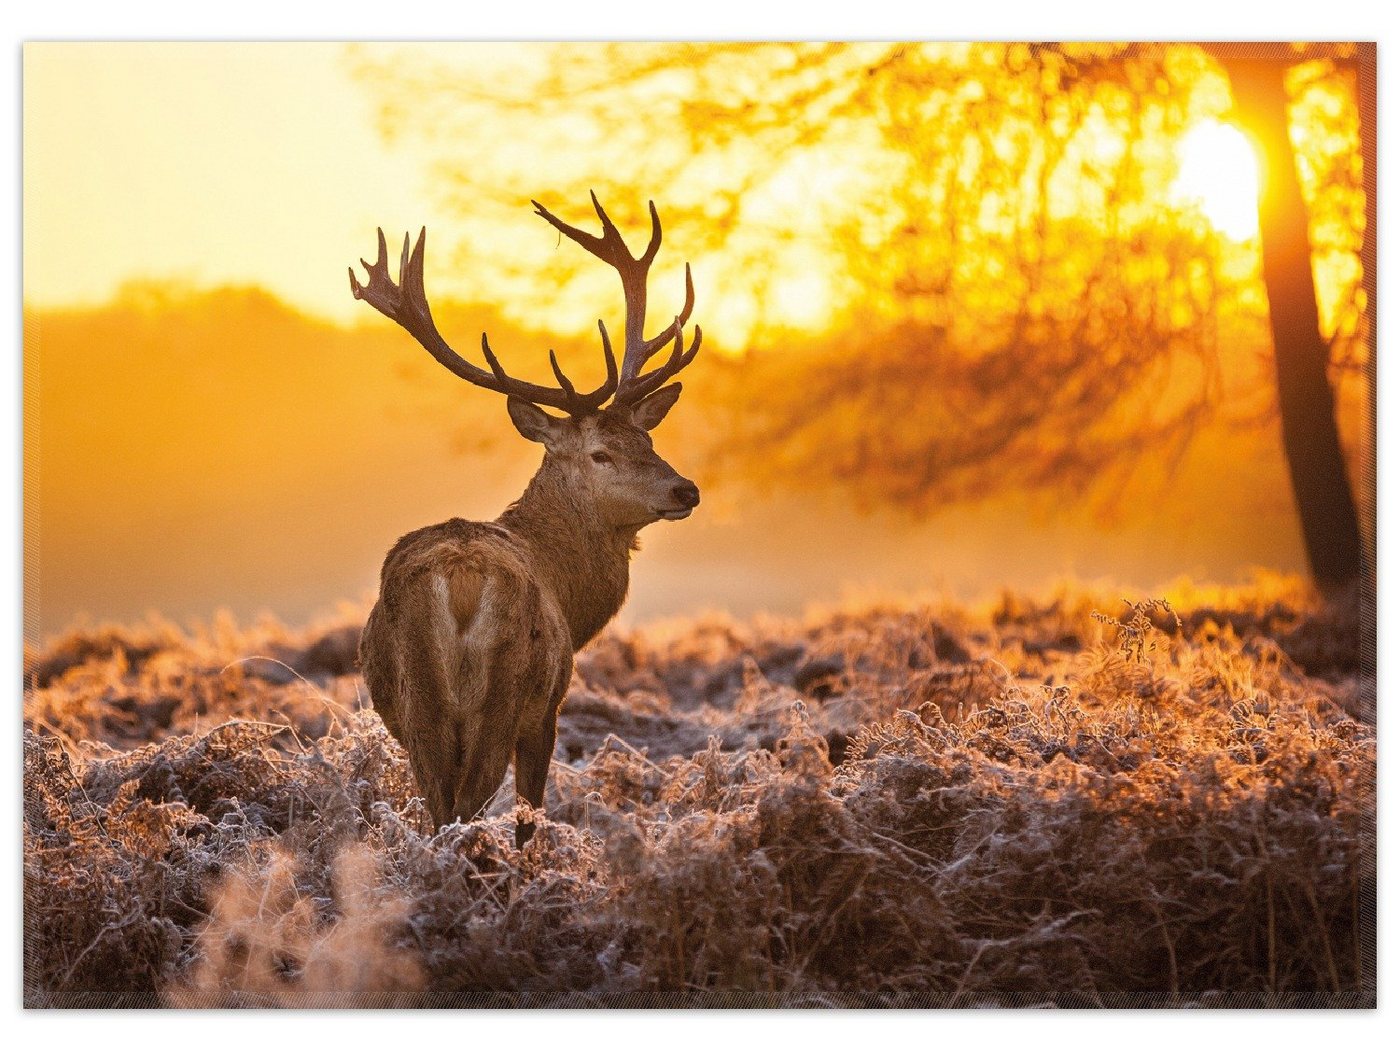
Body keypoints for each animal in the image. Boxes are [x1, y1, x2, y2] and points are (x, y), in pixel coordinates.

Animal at [350, 197, 700, 851]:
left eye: (648, 439)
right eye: (601, 454)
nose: (684, 488)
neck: (571, 594)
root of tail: (460, 583)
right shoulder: (548, 709)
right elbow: (529, 816)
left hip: (418, 708)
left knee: (439, 808)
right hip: (503, 696)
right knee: (466, 809)